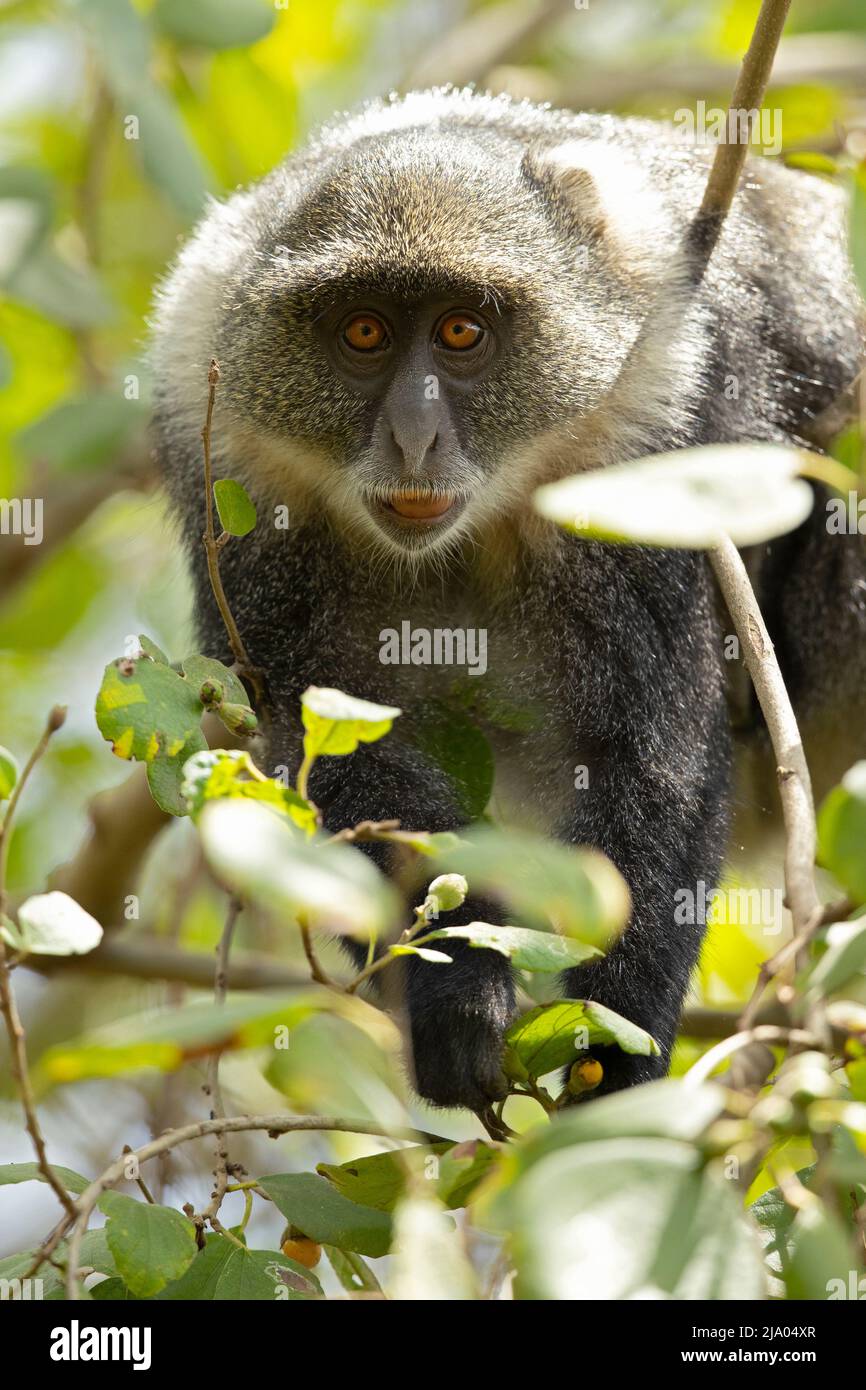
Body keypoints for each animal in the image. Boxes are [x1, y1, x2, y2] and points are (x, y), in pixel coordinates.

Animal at [150, 88, 866, 1114]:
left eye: (462, 332)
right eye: (363, 332)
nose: (414, 437)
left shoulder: (663, 424)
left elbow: (649, 755)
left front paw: (614, 1059)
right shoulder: (232, 469)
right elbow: (327, 741)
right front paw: (455, 999)